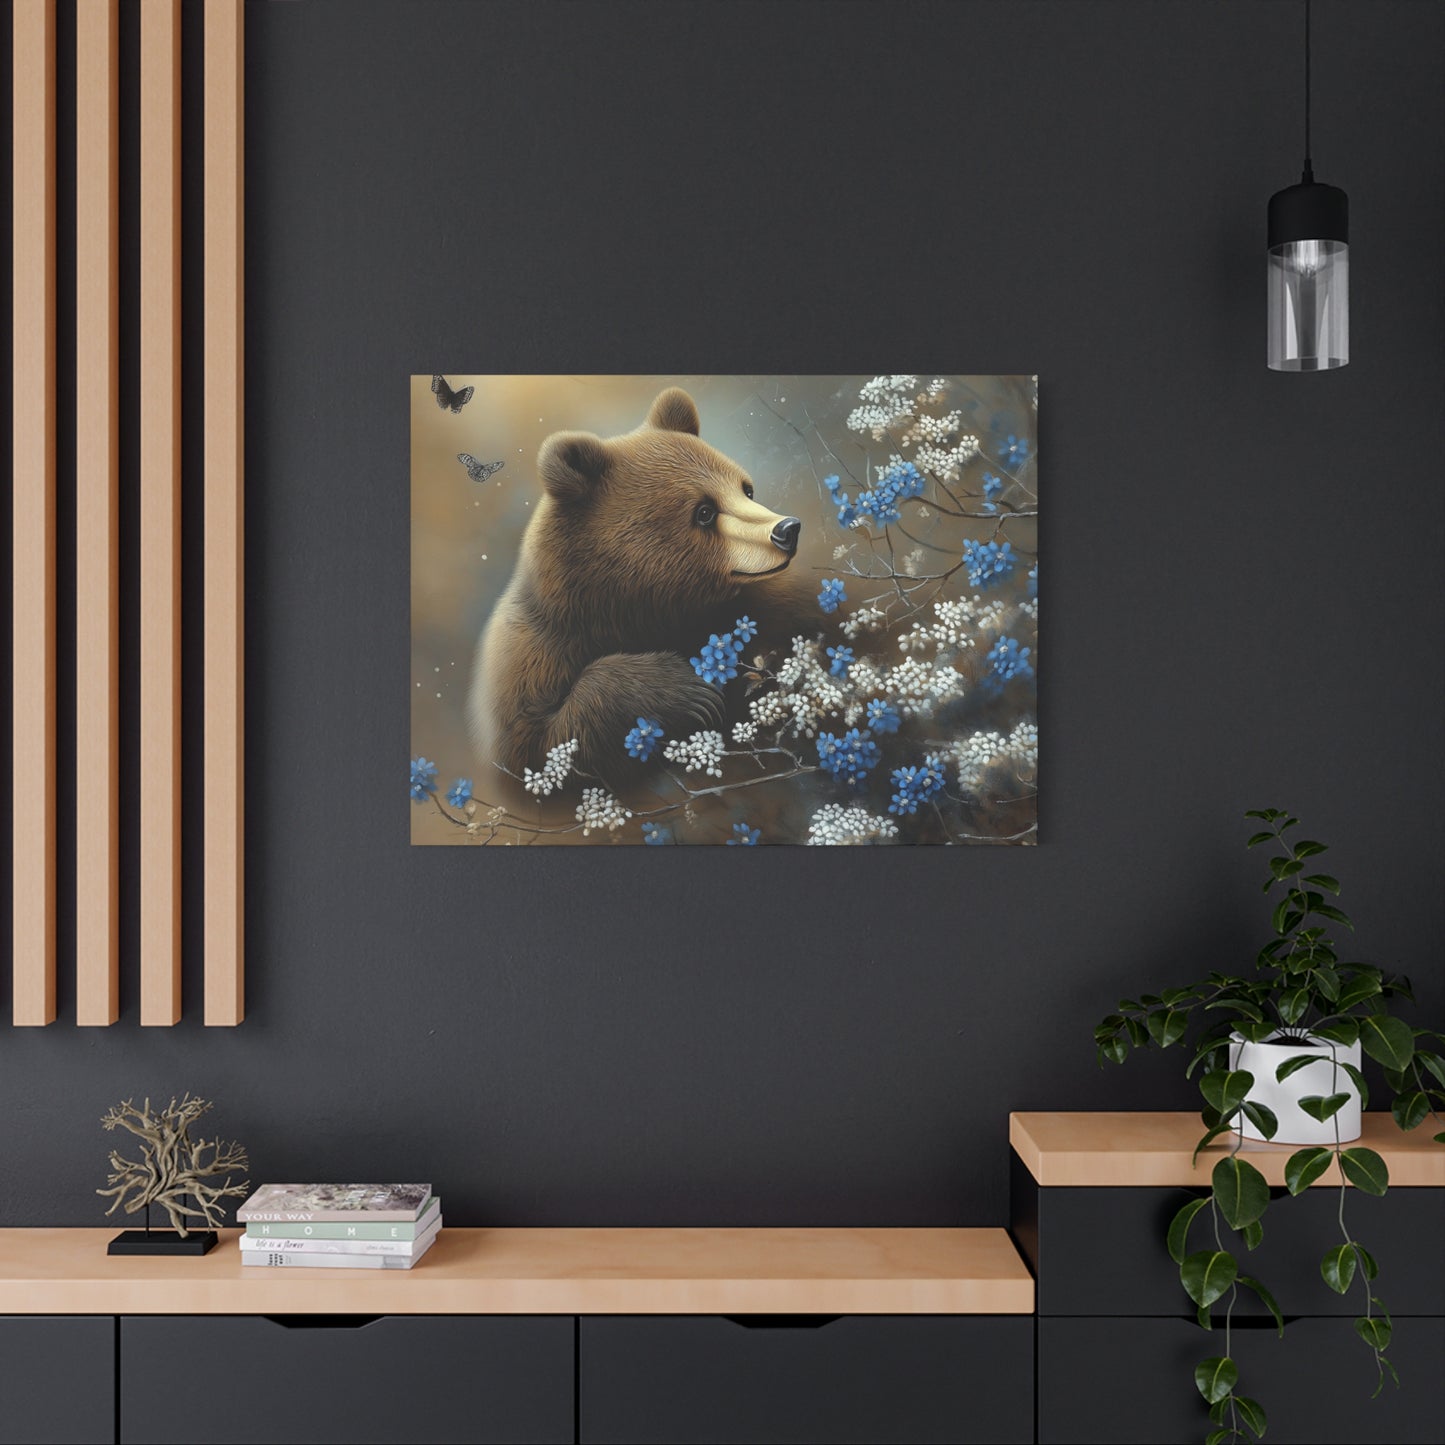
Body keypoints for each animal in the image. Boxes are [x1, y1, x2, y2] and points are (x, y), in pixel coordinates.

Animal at [468, 387, 818, 783]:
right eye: (704, 511)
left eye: (747, 489)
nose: (787, 529)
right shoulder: (531, 658)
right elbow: (540, 748)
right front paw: (689, 690)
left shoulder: (770, 607)